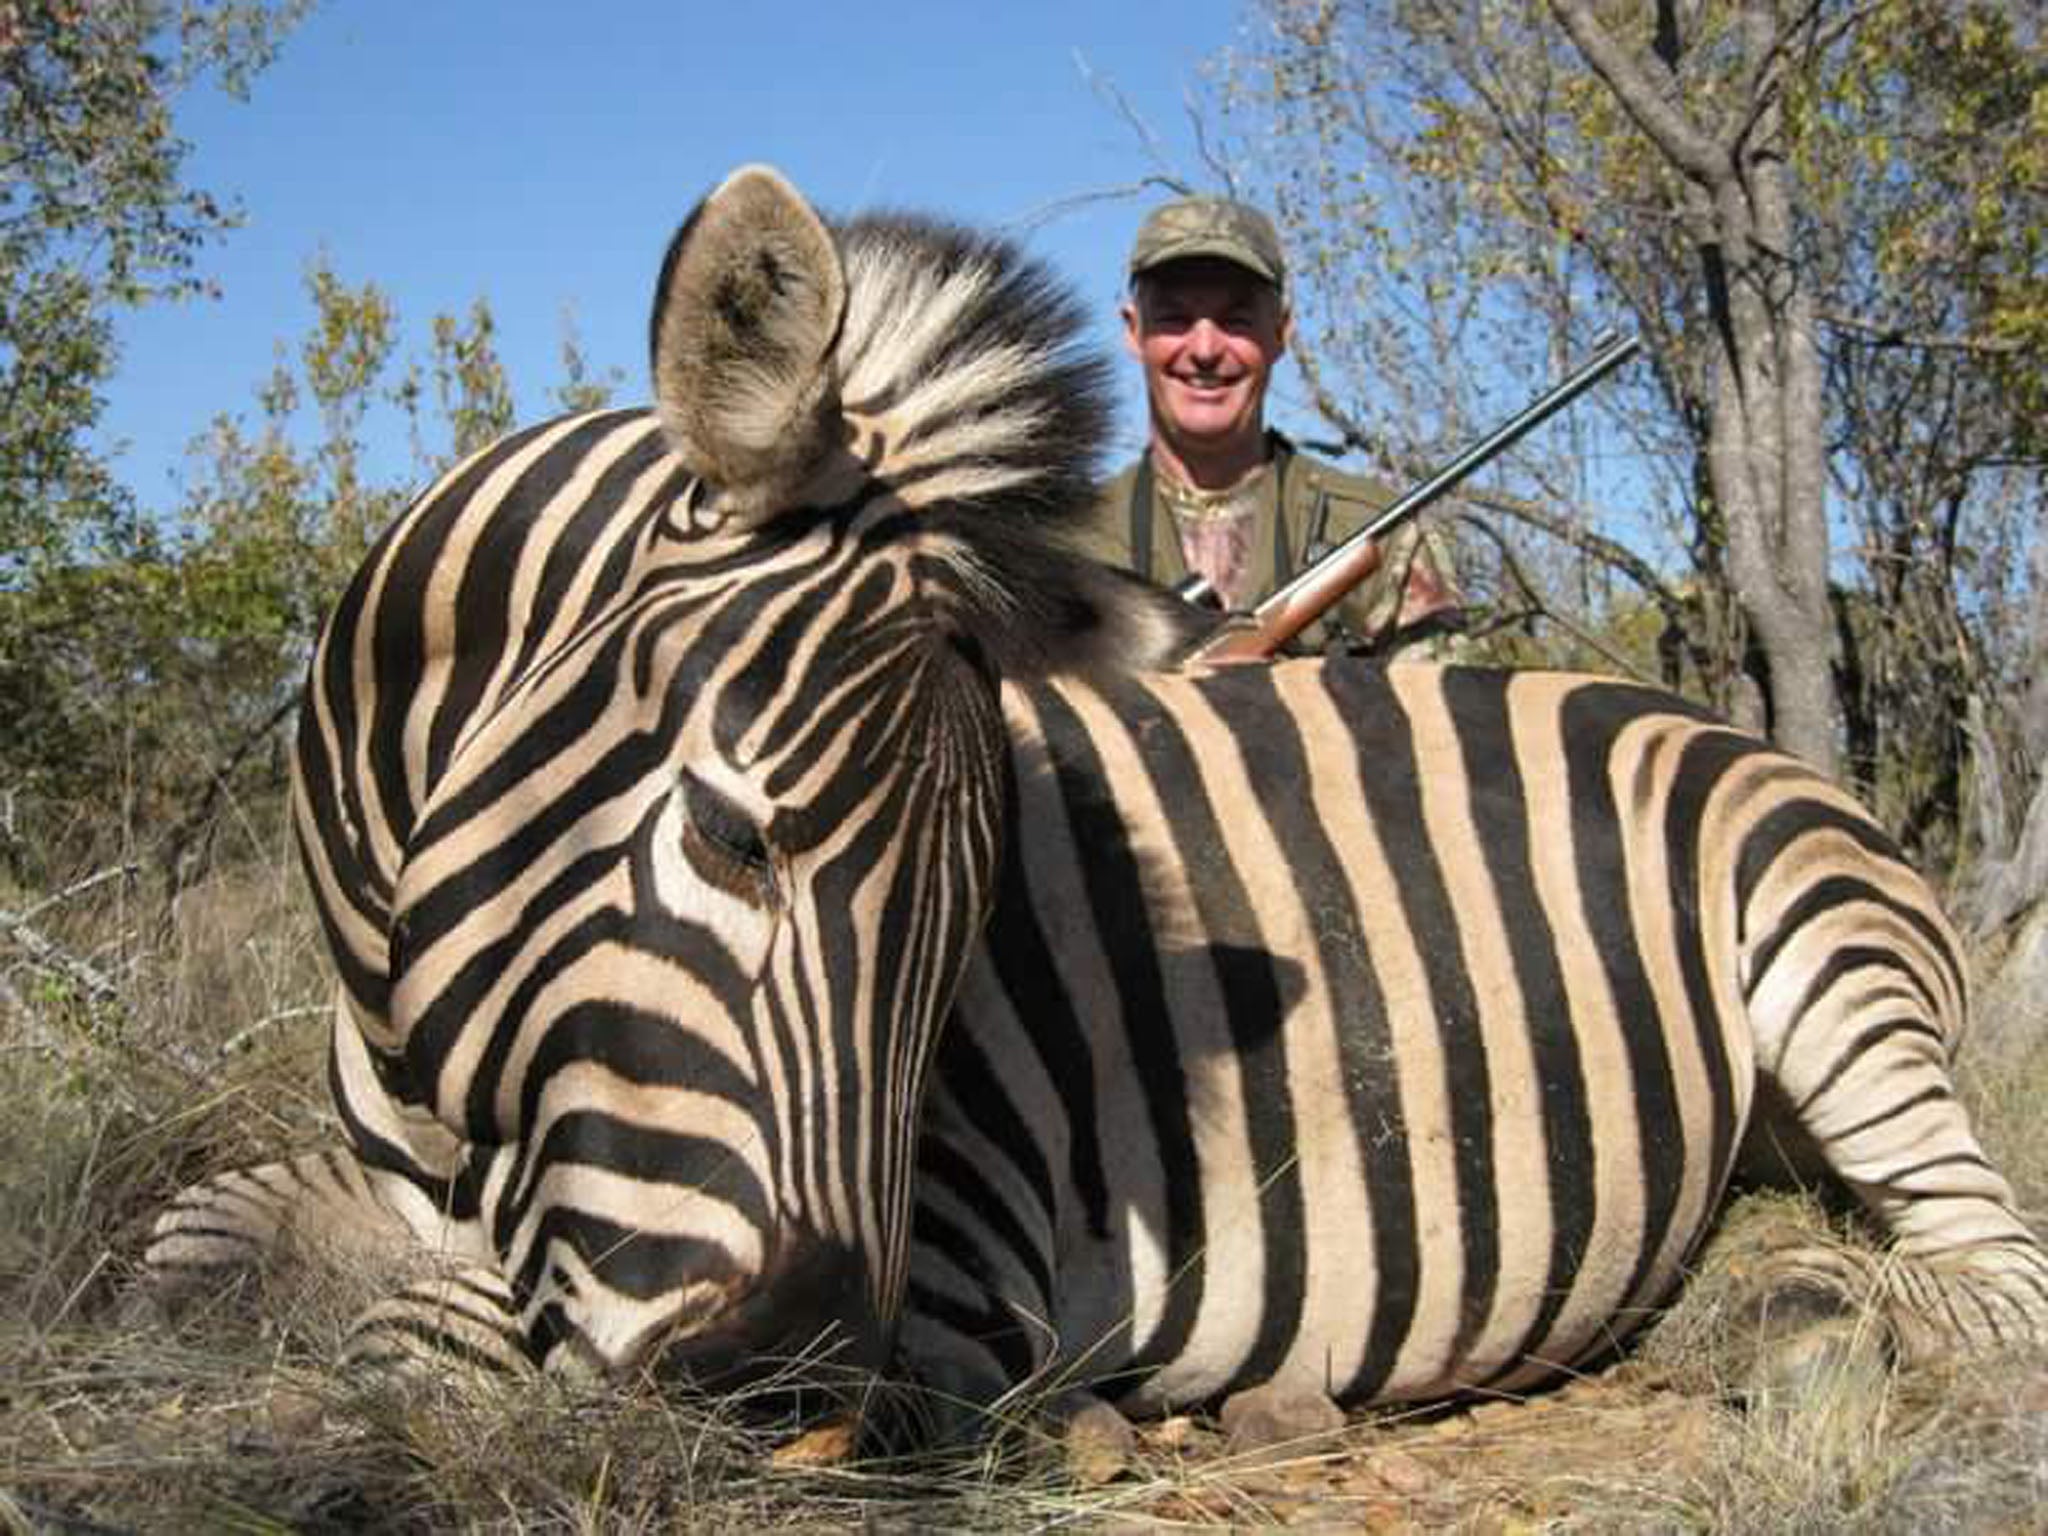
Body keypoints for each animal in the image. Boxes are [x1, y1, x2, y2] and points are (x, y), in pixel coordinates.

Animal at [148, 171, 2048, 1458]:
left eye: (965, 936)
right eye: (730, 838)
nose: (797, 1394)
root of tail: (1673, 706)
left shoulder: (965, 1243)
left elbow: (426, 1345)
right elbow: (200, 1241)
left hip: (1830, 968)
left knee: (1992, 1257)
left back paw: (1791, 1311)